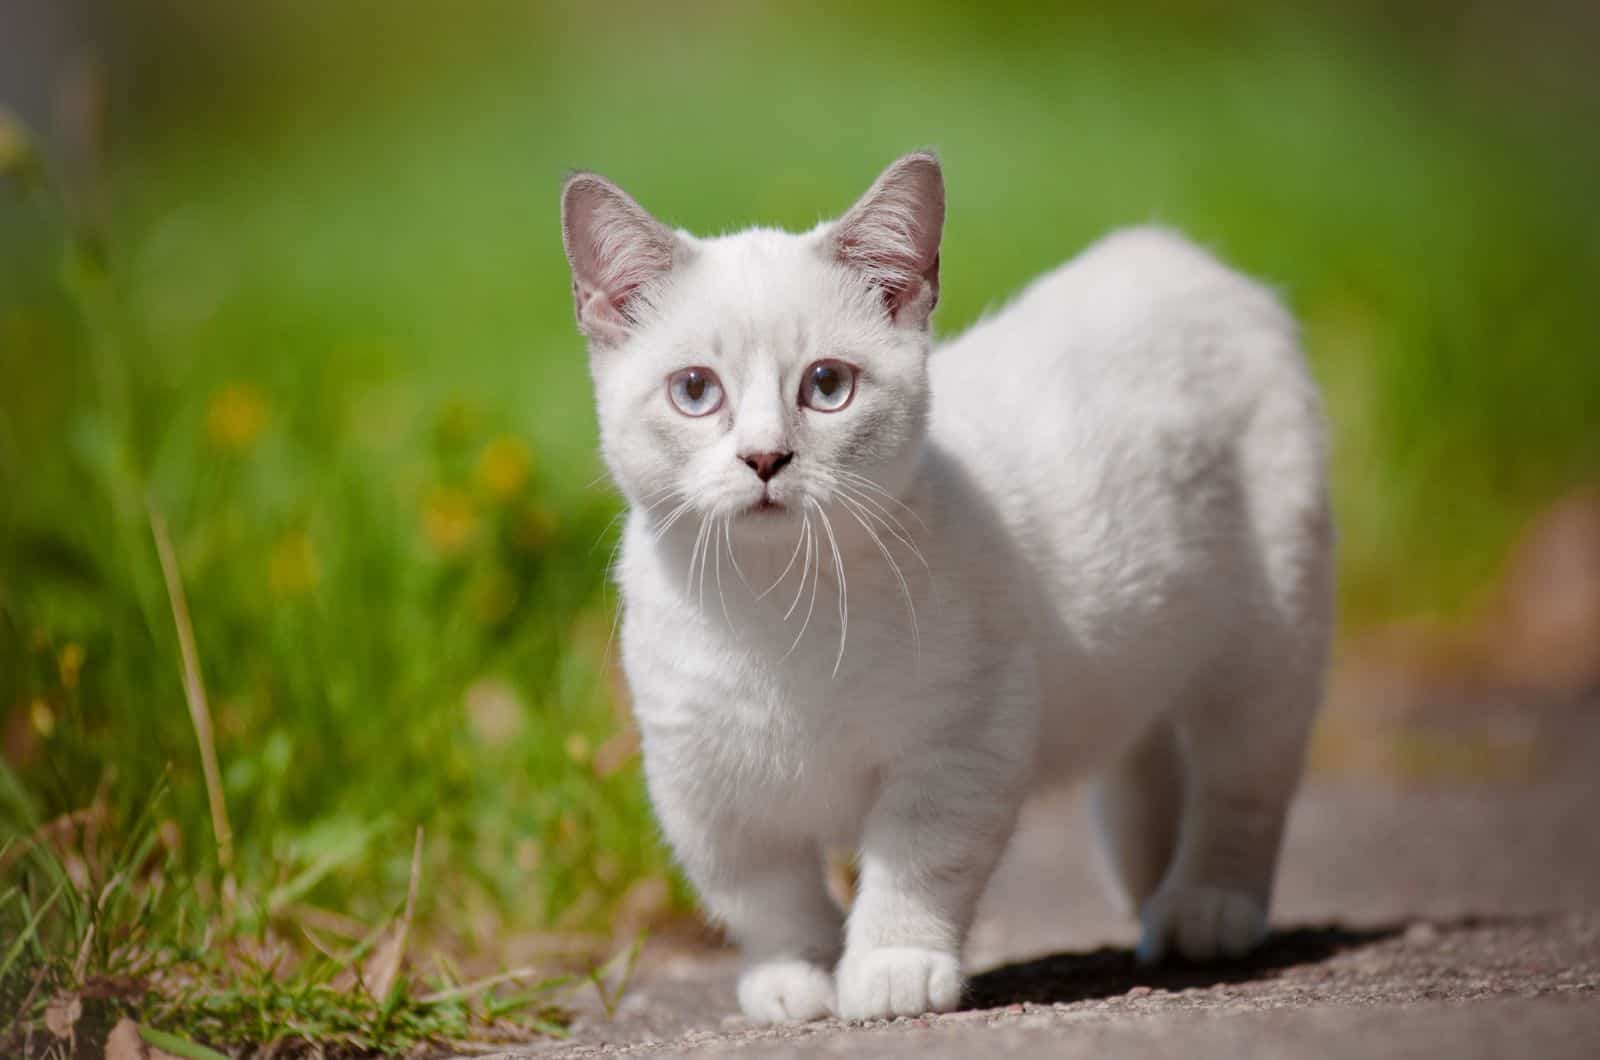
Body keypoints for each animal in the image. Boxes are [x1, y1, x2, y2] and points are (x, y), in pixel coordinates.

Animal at [556, 153, 1331, 1024]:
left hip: (1270, 637)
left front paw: (891, 967)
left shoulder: (959, 744)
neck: (775, 611)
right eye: (695, 391)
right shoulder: (700, 780)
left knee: (1242, 785)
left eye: (827, 385)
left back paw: (1206, 906)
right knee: (1144, 770)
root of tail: (1172, 253)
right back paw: (1151, 901)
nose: (764, 458)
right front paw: (793, 976)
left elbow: (915, 865)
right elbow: (764, 893)